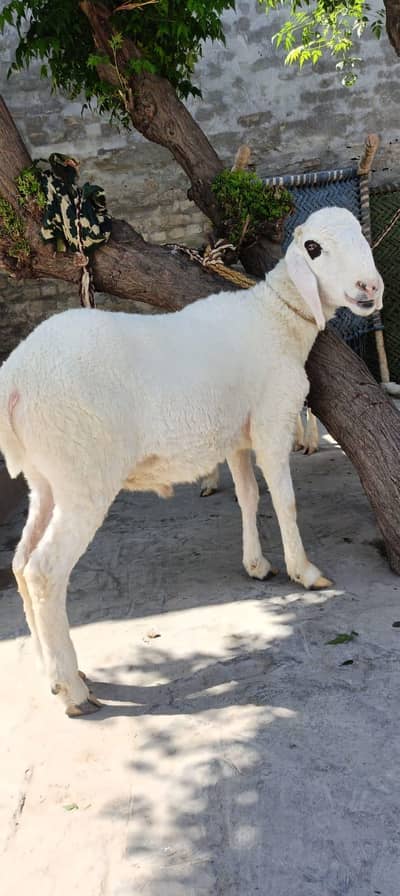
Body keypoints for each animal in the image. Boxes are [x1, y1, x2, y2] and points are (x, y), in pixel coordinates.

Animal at [0, 206, 383, 716]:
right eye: (314, 248)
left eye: (360, 235)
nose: (370, 287)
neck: (276, 317)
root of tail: (14, 381)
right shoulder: (271, 422)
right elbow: (285, 501)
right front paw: (305, 572)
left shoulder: (237, 436)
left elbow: (248, 497)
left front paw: (256, 564)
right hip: (82, 475)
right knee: (44, 572)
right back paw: (74, 691)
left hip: (46, 479)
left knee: (21, 563)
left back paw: (55, 678)